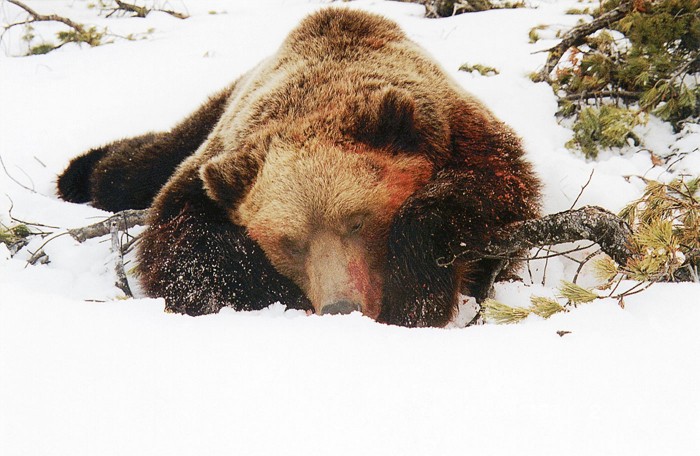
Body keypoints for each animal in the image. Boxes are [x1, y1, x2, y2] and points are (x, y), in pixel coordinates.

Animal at [58, 8, 540, 328]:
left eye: (358, 221)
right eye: (289, 243)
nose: (341, 307)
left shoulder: (461, 133)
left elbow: (491, 192)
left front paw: (417, 293)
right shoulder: (212, 173)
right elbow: (183, 256)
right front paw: (278, 293)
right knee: (137, 167)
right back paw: (81, 172)